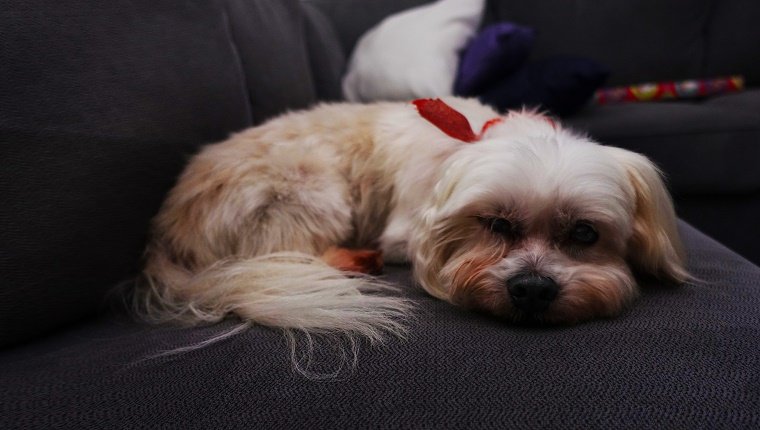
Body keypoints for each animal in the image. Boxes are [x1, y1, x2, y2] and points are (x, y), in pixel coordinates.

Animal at [137, 97, 688, 342]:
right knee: (289, 253)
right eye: (494, 224)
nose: (532, 289)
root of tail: (165, 232)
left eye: (584, 233)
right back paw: (355, 260)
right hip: (310, 190)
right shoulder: (404, 231)